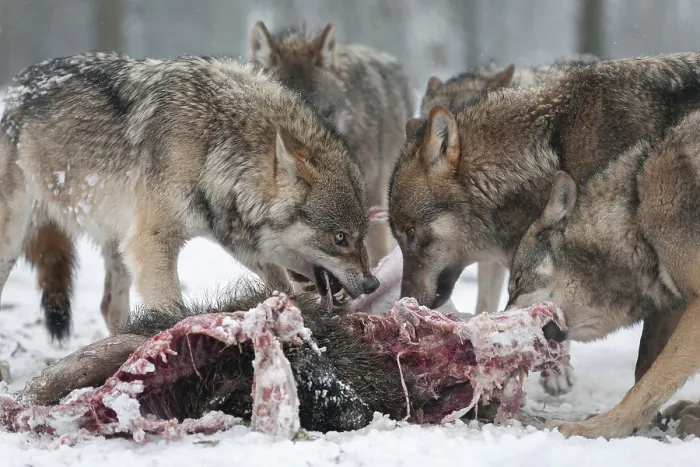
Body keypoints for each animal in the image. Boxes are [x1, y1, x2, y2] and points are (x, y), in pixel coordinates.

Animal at [0, 52, 380, 349]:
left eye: (362, 236)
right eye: (339, 238)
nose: (372, 283)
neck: (215, 142)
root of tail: (13, 87)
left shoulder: (236, 240)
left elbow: (280, 284)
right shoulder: (151, 243)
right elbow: (170, 310)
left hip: (118, 242)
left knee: (109, 308)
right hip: (15, 241)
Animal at [505, 110, 700, 438]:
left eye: (516, 283)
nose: (498, 323)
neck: (637, 214)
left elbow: (647, 384)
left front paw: (594, 427)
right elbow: (646, 370)